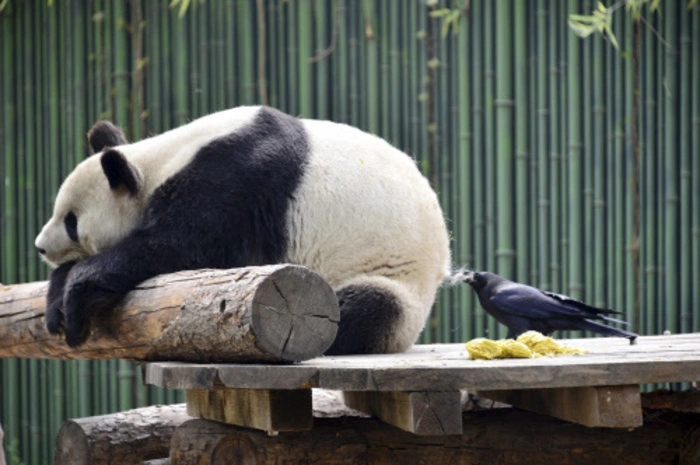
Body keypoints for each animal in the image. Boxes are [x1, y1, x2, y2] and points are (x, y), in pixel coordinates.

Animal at [35, 106, 451, 354]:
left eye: (71, 221)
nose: (40, 246)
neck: (158, 161)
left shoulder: (234, 181)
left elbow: (180, 249)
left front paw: (76, 292)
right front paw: (58, 296)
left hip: (391, 279)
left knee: (361, 307)